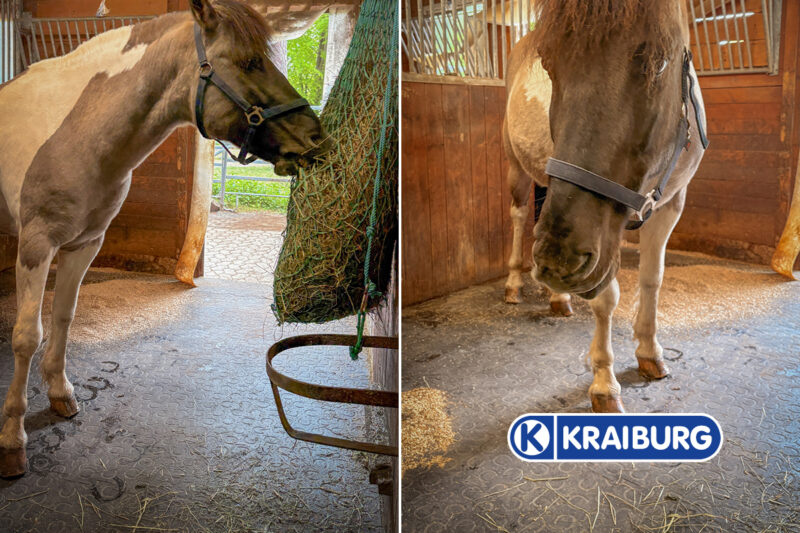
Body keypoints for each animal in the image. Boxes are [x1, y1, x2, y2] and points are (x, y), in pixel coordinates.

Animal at [0, 0, 331, 477]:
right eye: (251, 62)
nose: (316, 139)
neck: (75, 131)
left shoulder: (84, 244)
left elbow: (63, 317)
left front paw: (61, 394)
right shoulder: (36, 245)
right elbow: (27, 335)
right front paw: (12, 437)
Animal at [503, 0, 708, 412]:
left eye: (658, 63)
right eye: (548, 64)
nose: (558, 262)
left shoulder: (671, 205)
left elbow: (652, 279)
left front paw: (650, 352)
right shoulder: (600, 236)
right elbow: (606, 299)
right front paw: (604, 384)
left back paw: (559, 298)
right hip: (517, 167)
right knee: (518, 217)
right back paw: (515, 283)